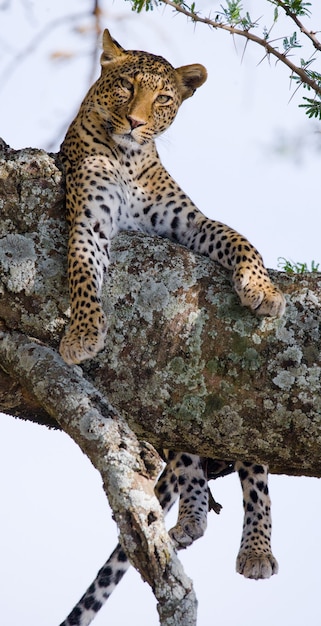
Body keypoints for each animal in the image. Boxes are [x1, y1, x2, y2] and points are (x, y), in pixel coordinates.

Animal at [57, 29, 282, 624]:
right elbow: (83, 272)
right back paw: (190, 519)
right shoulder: (89, 220)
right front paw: (83, 335)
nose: (135, 122)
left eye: (162, 99)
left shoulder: (188, 225)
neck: (130, 157)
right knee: (185, 457)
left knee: (251, 467)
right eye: (125, 86)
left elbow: (238, 238)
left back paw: (255, 550)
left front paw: (263, 289)